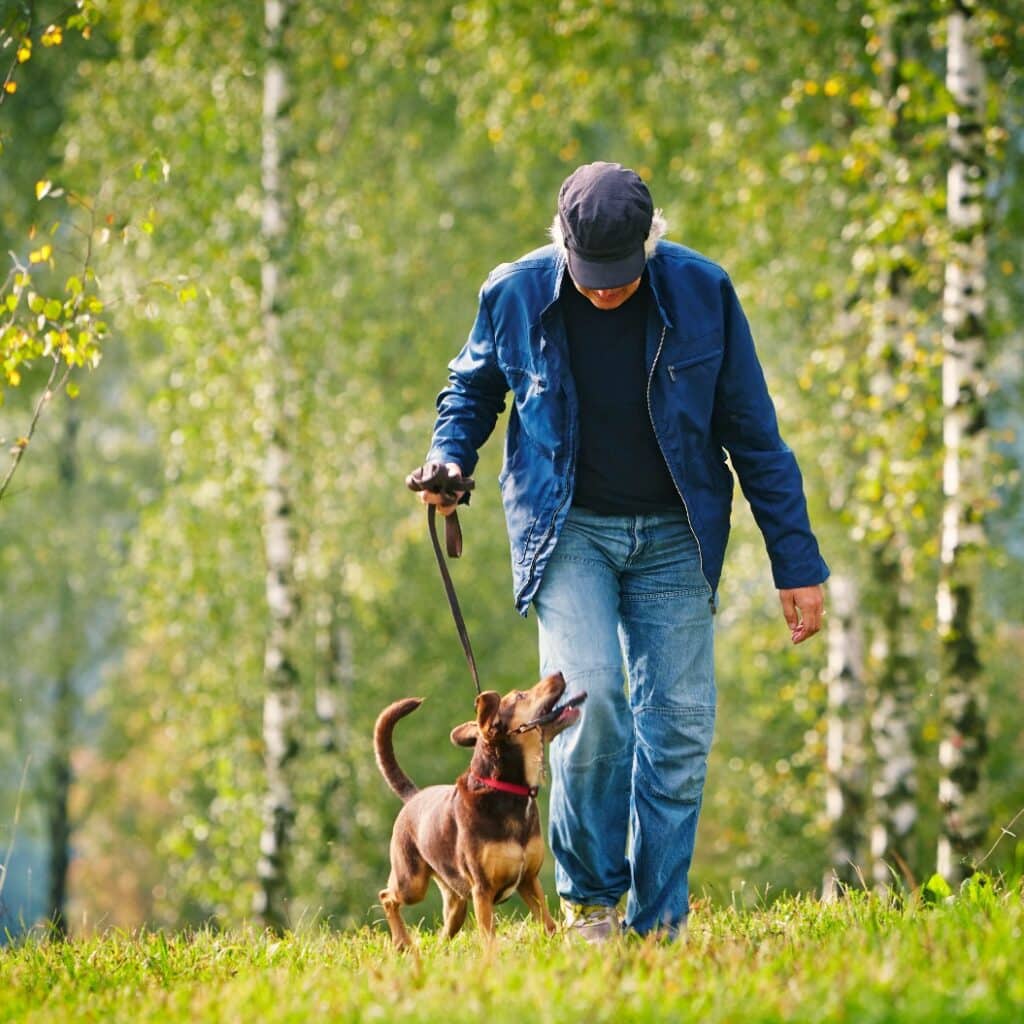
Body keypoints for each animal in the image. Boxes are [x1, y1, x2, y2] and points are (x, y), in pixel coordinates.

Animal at [374, 671, 585, 950]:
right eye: (520, 696)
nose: (559, 673)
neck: (507, 791)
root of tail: (413, 796)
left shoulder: (529, 879)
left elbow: (548, 923)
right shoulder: (483, 890)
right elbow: (489, 937)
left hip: (456, 902)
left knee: (445, 931)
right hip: (412, 882)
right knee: (387, 896)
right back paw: (402, 942)